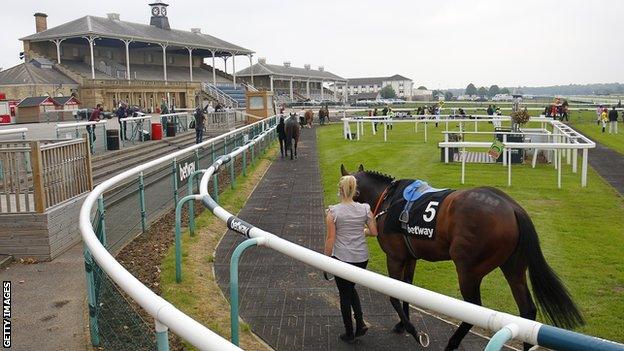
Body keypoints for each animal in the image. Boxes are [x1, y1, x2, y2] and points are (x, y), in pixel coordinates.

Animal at [342, 166, 584, 351]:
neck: (388, 199)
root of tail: (513, 208)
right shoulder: (410, 258)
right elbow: (406, 290)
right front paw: (403, 325)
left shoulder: (395, 257)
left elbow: (394, 295)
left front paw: (412, 330)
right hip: (513, 267)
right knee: (527, 310)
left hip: (469, 270)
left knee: (472, 309)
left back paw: (451, 343)